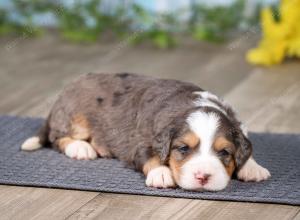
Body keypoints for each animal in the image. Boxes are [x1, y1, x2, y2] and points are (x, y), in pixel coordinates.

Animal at [21, 73, 270, 191]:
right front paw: (161, 174)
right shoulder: (140, 142)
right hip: (76, 118)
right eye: (182, 148)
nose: (203, 177)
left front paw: (253, 168)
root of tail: (63, 93)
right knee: (57, 137)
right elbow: (150, 156)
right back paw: (81, 148)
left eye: (224, 153)